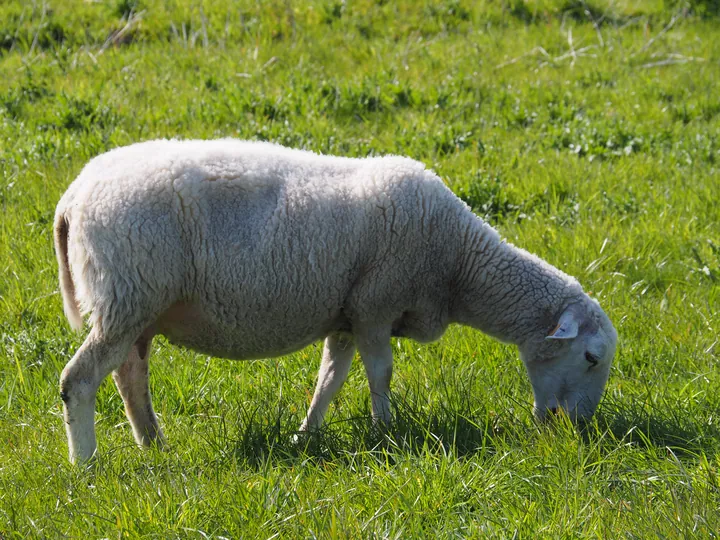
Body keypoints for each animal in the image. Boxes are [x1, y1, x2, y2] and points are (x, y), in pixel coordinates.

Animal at [54, 139, 620, 464]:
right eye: (591, 357)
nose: (576, 430)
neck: (458, 263)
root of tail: (74, 195)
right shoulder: (375, 306)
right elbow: (381, 374)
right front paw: (386, 434)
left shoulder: (345, 314)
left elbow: (331, 378)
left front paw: (307, 436)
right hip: (128, 295)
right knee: (78, 381)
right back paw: (86, 466)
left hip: (137, 308)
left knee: (130, 377)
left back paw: (153, 444)